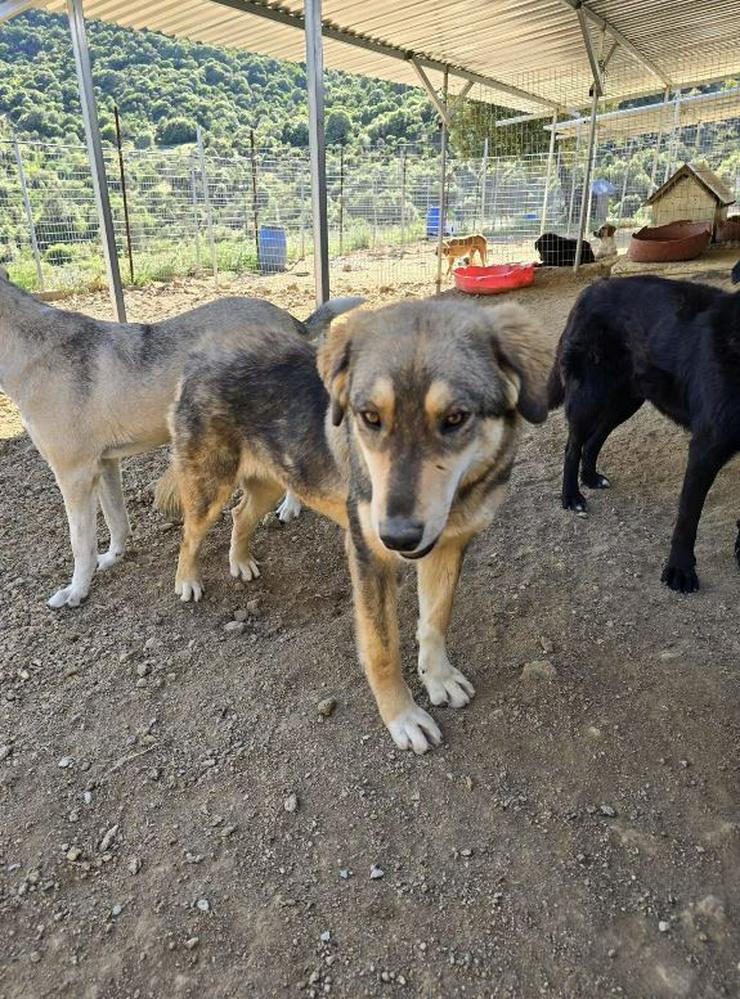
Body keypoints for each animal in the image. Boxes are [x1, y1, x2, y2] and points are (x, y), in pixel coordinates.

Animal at [0, 270, 362, 608]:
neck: (32, 352)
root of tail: (288, 318)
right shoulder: (104, 465)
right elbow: (117, 521)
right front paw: (113, 557)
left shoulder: (73, 474)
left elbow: (80, 543)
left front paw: (76, 590)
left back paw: (290, 504)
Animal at [168, 300, 548, 752]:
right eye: (369, 416)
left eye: (456, 418)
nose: (397, 536)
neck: (461, 496)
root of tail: (200, 355)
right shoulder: (368, 554)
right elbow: (382, 648)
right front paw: (403, 717)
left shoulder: (449, 546)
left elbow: (435, 620)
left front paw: (437, 677)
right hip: (209, 485)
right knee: (190, 534)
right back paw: (188, 580)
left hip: (273, 479)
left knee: (241, 515)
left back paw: (240, 561)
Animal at [548, 274, 736, 592]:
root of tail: (590, 288)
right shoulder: (705, 448)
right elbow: (688, 516)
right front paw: (680, 570)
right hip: (590, 396)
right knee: (573, 446)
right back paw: (571, 495)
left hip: (625, 399)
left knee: (594, 440)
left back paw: (590, 477)